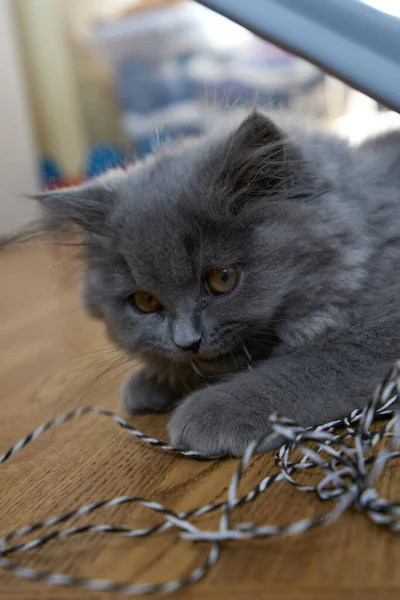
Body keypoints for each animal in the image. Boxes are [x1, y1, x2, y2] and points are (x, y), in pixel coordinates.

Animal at [32, 112, 400, 458]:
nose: (187, 342)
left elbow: (310, 368)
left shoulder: (377, 331)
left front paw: (209, 410)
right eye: (145, 301)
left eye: (223, 278)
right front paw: (155, 379)